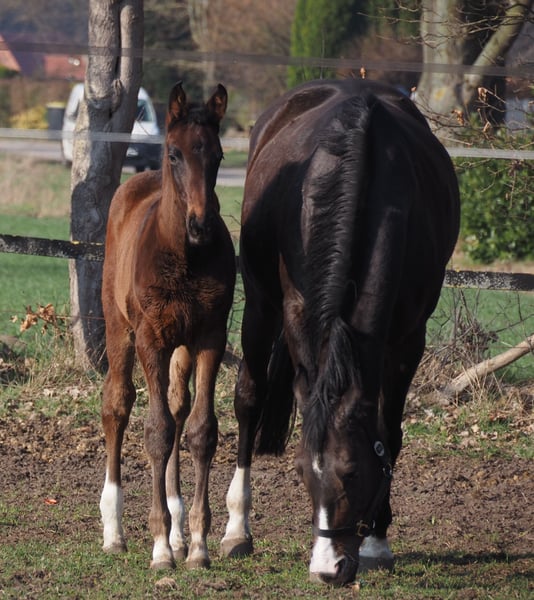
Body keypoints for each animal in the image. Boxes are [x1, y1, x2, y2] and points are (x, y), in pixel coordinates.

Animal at [100, 82, 236, 570]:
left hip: (182, 347)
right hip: (119, 330)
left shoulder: (210, 337)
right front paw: (160, 547)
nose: (200, 224)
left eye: (217, 154)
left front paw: (195, 545)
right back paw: (114, 530)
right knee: (117, 404)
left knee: (179, 405)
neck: (185, 258)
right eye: (174, 153)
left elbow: (200, 430)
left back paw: (178, 530)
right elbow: (156, 431)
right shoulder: (151, 340)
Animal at [220, 79, 460, 586]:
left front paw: (378, 540)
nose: (327, 569)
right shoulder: (297, 314)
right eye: (301, 473)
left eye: (351, 472)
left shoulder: (408, 340)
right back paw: (236, 529)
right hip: (259, 303)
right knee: (249, 397)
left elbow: (389, 432)